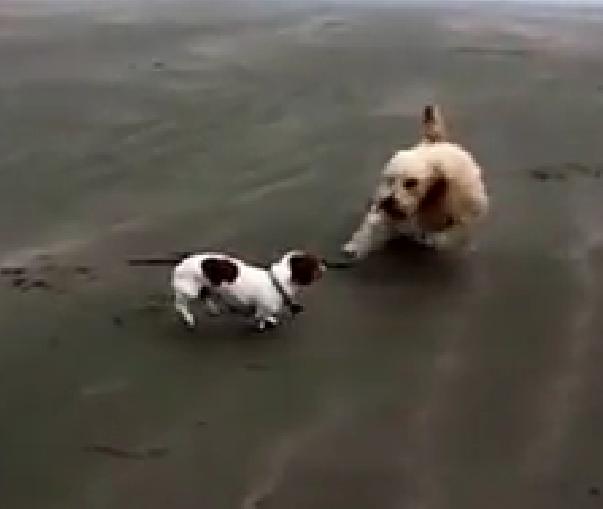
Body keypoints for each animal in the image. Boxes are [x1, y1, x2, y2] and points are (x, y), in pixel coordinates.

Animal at [172, 249, 326, 330]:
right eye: (315, 263)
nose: (325, 264)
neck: (278, 282)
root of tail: (181, 262)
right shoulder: (263, 307)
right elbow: (261, 316)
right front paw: (262, 323)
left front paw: (269, 319)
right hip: (190, 290)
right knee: (180, 304)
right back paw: (189, 318)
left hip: (207, 285)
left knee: (205, 295)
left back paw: (213, 309)